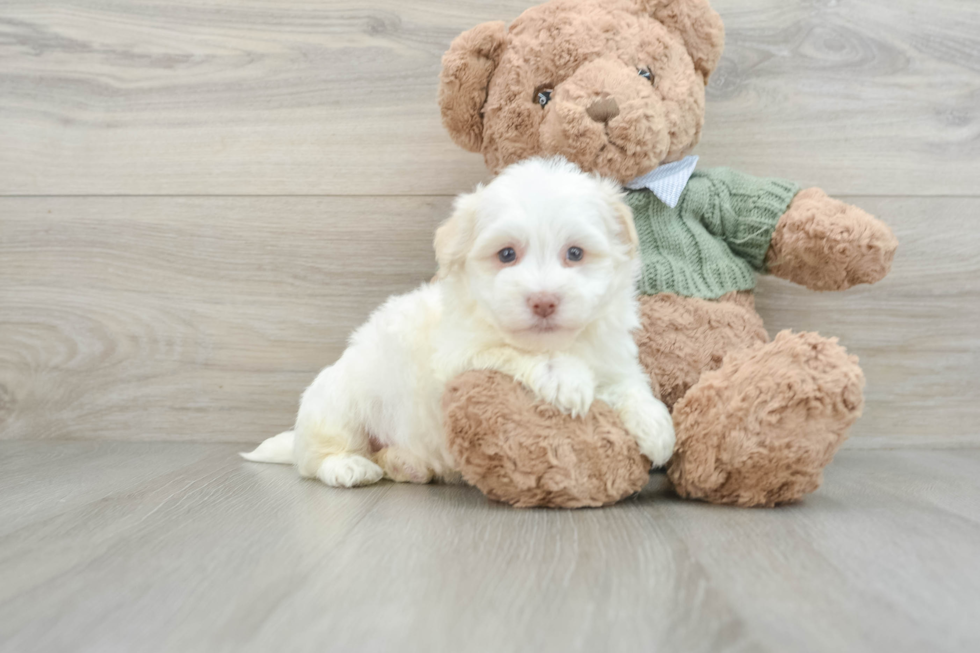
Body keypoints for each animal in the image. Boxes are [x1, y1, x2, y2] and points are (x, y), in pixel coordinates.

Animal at [244, 157, 672, 484]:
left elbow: (628, 383)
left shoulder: (610, 354)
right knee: (319, 458)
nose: (544, 301)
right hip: (338, 404)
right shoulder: (458, 358)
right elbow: (515, 351)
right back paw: (349, 466)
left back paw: (406, 464)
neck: (564, 342)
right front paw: (564, 377)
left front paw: (655, 425)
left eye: (575, 253)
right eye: (506, 255)